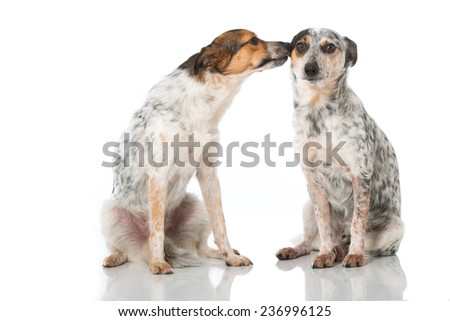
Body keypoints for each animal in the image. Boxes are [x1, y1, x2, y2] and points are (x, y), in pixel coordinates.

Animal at [101, 28, 290, 272]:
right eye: (253, 40)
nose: (290, 44)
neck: (204, 105)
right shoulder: (158, 173)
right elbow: (156, 230)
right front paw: (157, 263)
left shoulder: (208, 173)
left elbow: (221, 224)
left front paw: (230, 256)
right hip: (108, 211)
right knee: (124, 247)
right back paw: (117, 257)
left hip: (196, 207)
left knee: (200, 248)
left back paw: (220, 254)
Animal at [276, 28, 406, 268]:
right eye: (300, 46)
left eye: (329, 47)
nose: (310, 68)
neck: (318, 111)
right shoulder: (313, 182)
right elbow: (324, 226)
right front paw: (325, 254)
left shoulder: (360, 177)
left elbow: (356, 224)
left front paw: (354, 255)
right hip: (307, 206)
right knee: (310, 241)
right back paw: (309, 250)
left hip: (395, 229)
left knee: (356, 240)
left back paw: (344, 250)